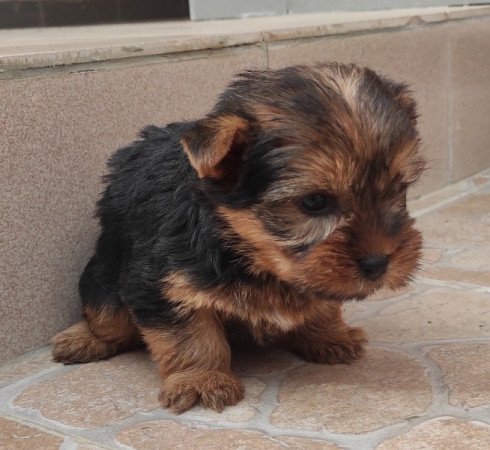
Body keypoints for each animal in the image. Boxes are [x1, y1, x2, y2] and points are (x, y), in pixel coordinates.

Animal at [51, 62, 424, 412]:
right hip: (106, 280)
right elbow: (189, 336)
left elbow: (322, 300)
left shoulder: (312, 274)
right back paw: (81, 339)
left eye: (398, 189)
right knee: (106, 318)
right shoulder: (161, 281)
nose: (378, 263)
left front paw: (330, 334)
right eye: (314, 202)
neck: (247, 250)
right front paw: (201, 379)